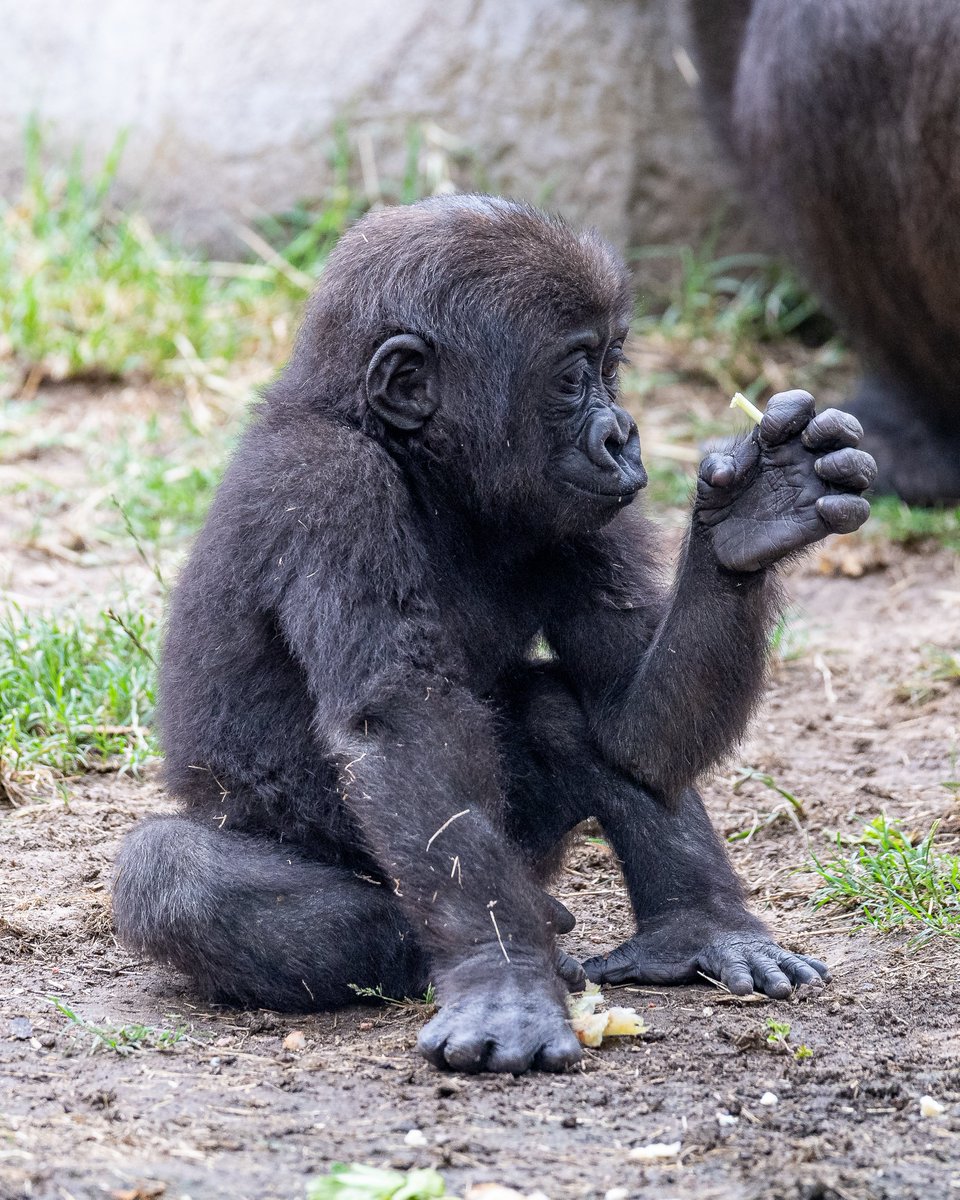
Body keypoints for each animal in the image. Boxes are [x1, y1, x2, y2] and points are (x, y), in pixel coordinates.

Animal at [113, 195, 876, 1073]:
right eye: (573, 375)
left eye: (614, 362)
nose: (622, 434)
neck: (411, 455)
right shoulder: (332, 485)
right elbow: (404, 720)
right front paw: (501, 980)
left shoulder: (582, 514)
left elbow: (633, 720)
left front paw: (755, 514)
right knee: (174, 876)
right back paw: (487, 949)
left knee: (564, 714)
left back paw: (699, 931)